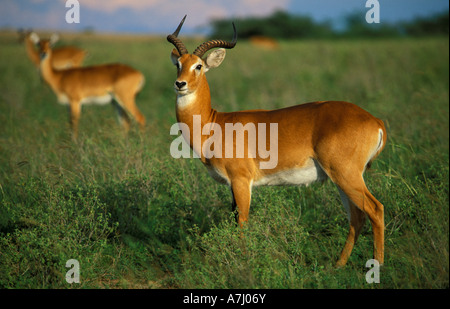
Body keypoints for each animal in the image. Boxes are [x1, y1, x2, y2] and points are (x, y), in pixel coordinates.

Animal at [169, 15, 386, 264]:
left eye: (198, 66)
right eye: (178, 64)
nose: (180, 84)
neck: (215, 123)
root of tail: (375, 120)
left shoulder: (241, 181)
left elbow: (242, 222)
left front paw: (244, 262)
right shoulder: (232, 186)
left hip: (346, 175)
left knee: (375, 209)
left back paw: (377, 265)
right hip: (341, 179)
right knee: (357, 217)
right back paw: (338, 266)